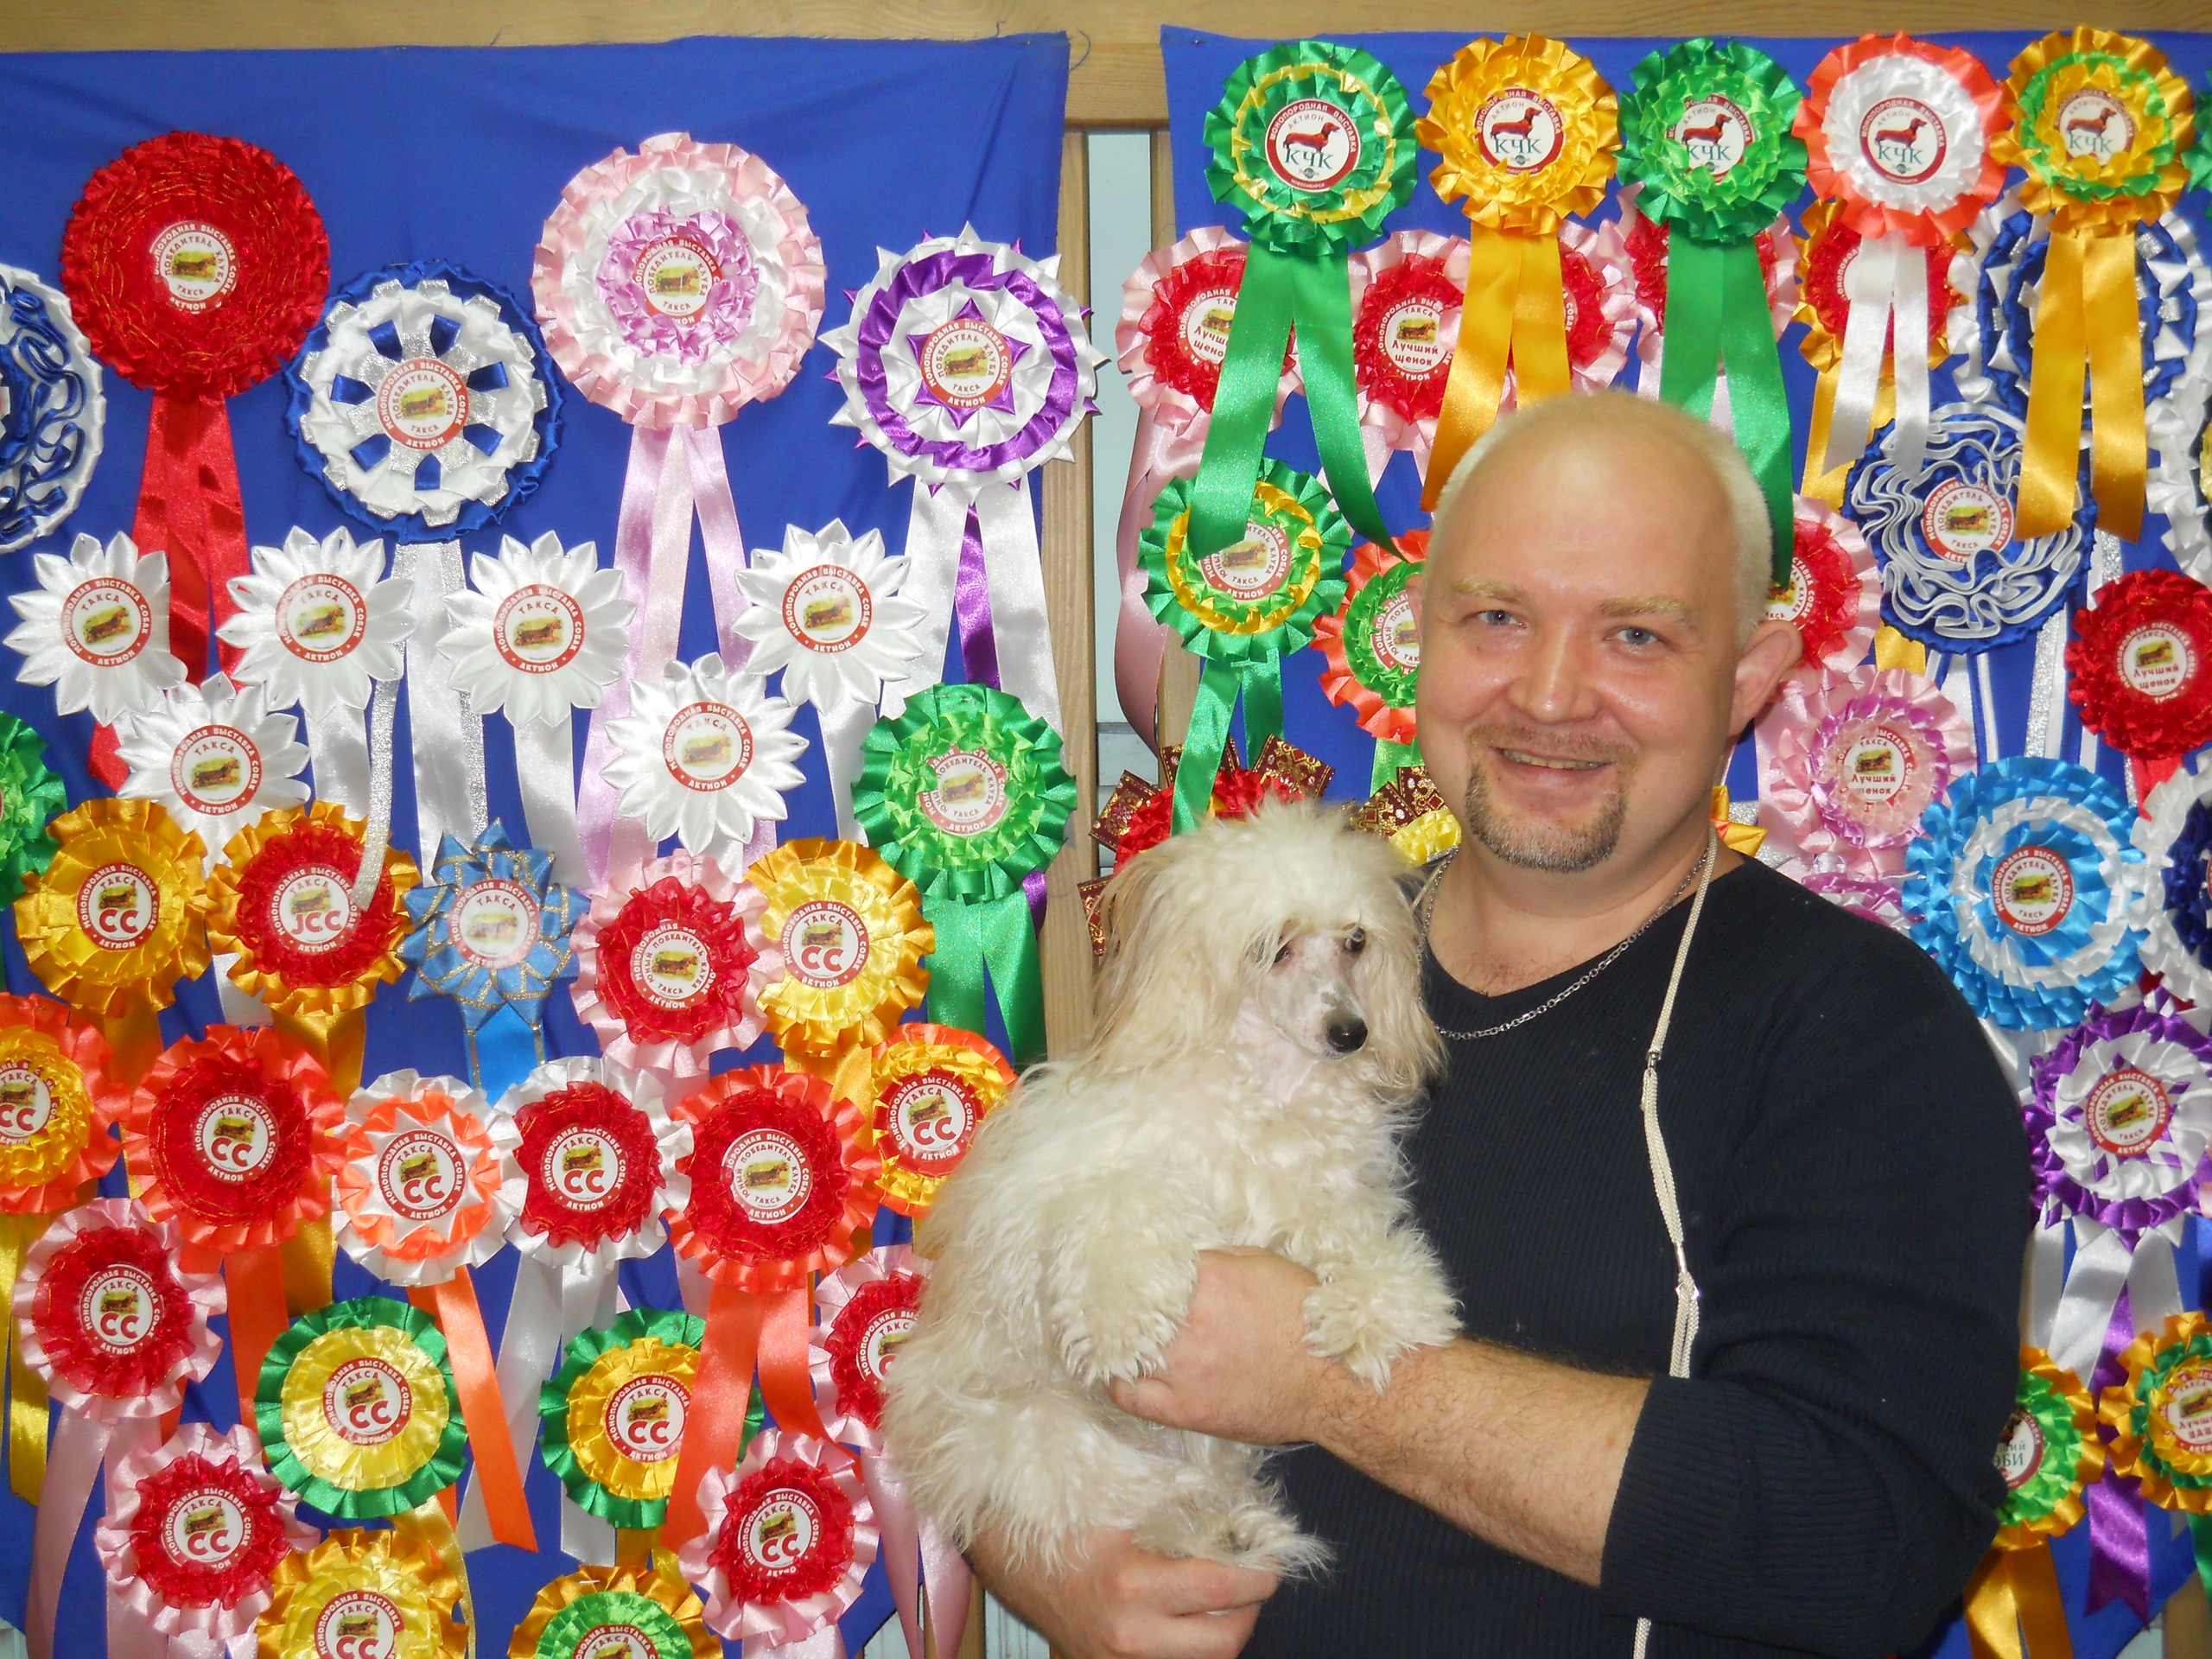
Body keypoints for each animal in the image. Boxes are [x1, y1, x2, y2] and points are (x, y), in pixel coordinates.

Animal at [883, 800, 1460, 1578]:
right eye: (1274, 947)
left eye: (1355, 941)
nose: (1351, 1032)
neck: (1269, 1090)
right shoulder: (1080, 1191)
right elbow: (1121, 1212)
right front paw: (1118, 1324)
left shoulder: (1319, 1201)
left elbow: (1363, 1243)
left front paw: (1379, 1310)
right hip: (1036, 1432)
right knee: (1135, 1497)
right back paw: (1207, 1527)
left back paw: (1235, 1529)